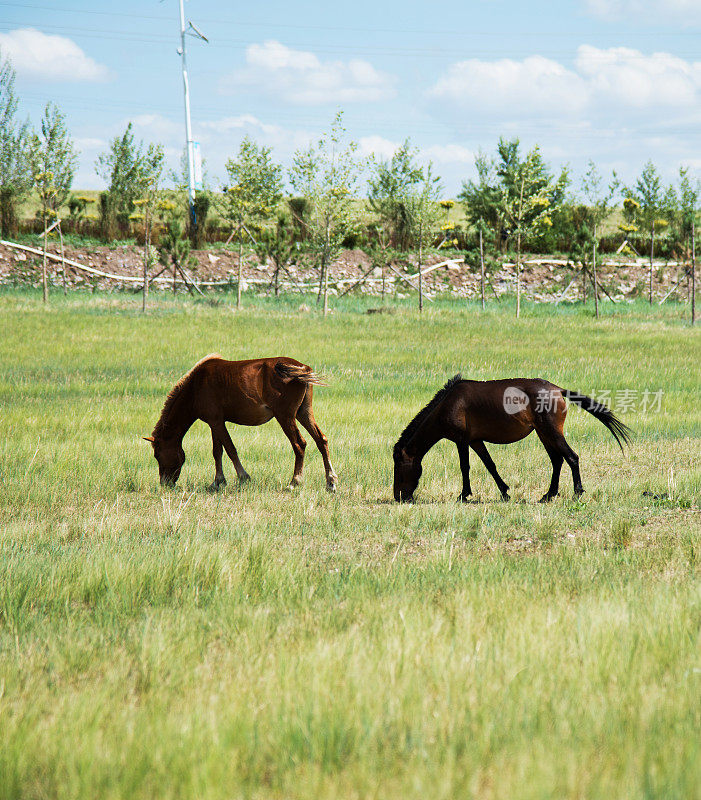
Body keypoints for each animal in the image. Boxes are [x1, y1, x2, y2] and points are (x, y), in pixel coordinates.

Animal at [143, 354, 336, 490]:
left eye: (157, 455)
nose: (164, 483)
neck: (196, 387)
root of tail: (302, 368)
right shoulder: (215, 423)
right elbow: (217, 451)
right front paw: (218, 481)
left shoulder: (217, 422)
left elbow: (230, 449)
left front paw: (243, 477)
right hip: (303, 413)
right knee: (321, 440)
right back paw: (331, 482)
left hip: (285, 416)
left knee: (299, 444)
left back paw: (295, 482)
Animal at [394, 376, 628, 504]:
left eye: (398, 466)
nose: (399, 497)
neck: (449, 404)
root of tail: (557, 389)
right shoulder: (475, 441)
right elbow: (490, 465)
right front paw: (504, 492)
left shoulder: (462, 440)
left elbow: (464, 467)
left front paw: (464, 495)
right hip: (544, 434)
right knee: (557, 461)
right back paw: (549, 494)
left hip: (551, 432)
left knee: (571, 457)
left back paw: (577, 492)